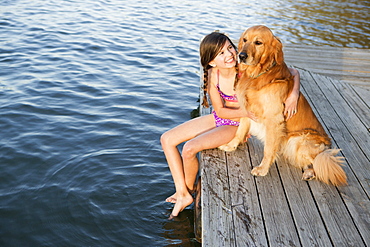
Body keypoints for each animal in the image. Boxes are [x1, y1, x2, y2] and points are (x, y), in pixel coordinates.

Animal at [218, 26, 346, 186]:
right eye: (245, 40)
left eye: (258, 42)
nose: (241, 56)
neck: (259, 74)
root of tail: (327, 146)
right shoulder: (246, 110)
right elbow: (239, 132)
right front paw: (231, 146)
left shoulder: (274, 120)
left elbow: (268, 149)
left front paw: (262, 169)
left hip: (298, 140)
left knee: (320, 161)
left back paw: (311, 172)